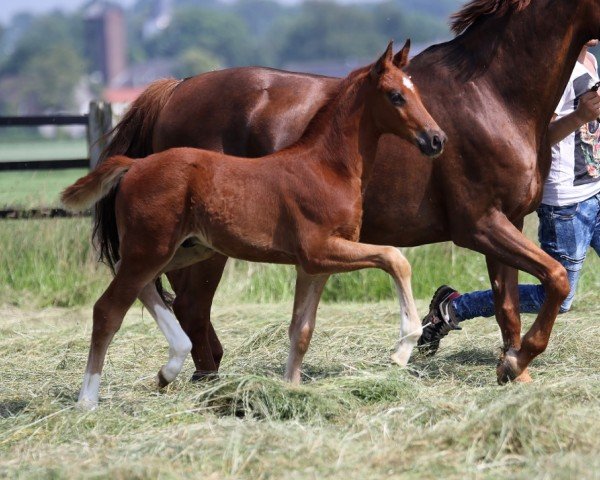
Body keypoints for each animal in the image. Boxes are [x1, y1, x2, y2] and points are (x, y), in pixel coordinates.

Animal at [62, 42, 446, 408]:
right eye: (395, 96)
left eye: (416, 91)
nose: (436, 138)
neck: (326, 168)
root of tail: (135, 165)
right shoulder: (320, 250)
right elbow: (395, 258)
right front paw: (403, 346)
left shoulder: (313, 266)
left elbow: (301, 330)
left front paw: (290, 390)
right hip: (151, 249)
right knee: (109, 309)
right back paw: (88, 401)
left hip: (186, 249)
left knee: (139, 283)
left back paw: (168, 368)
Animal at [96, 0, 596, 384]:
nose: (436, 141)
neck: (492, 95)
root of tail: (174, 89)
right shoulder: (479, 224)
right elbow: (556, 277)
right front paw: (518, 360)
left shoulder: (507, 220)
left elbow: (508, 304)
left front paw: (513, 369)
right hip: (204, 244)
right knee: (189, 304)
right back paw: (204, 377)